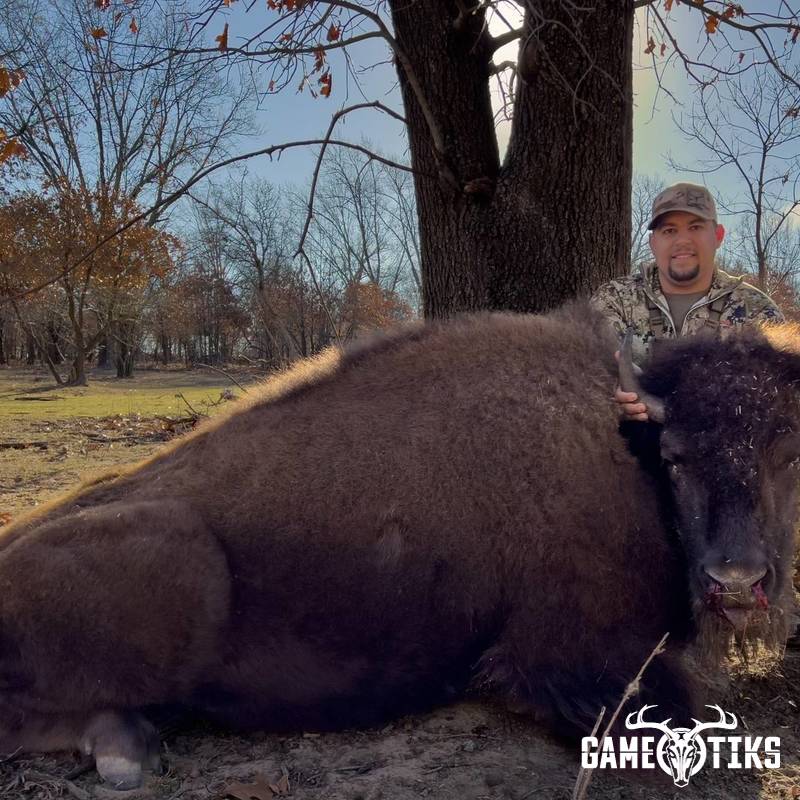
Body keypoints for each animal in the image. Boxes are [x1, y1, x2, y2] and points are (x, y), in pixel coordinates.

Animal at [0, 303, 796, 789]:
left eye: (786, 448)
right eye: (676, 458)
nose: (735, 579)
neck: (626, 450)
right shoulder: (569, 659)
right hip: (186, 559)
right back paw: (126, 750)